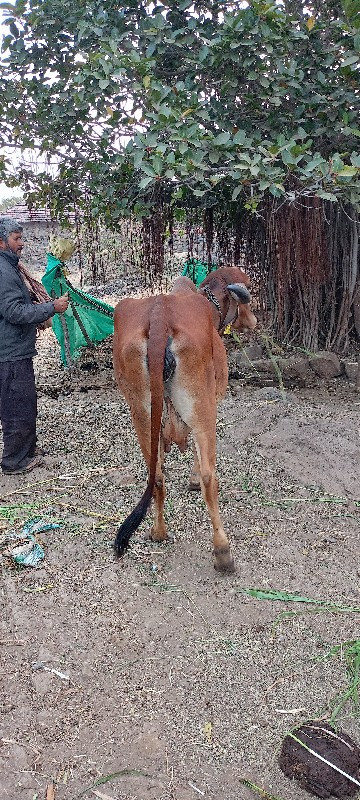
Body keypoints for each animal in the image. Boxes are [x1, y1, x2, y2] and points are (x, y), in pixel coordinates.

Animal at [112, 266, 256, 572]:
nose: (253, 321)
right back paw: (222, 552)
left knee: (156, 475)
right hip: (201, 408)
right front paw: (191, 478)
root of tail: (159, 317)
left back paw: (158, 532)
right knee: (209, 477)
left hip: (141, 414)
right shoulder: (211, 403)